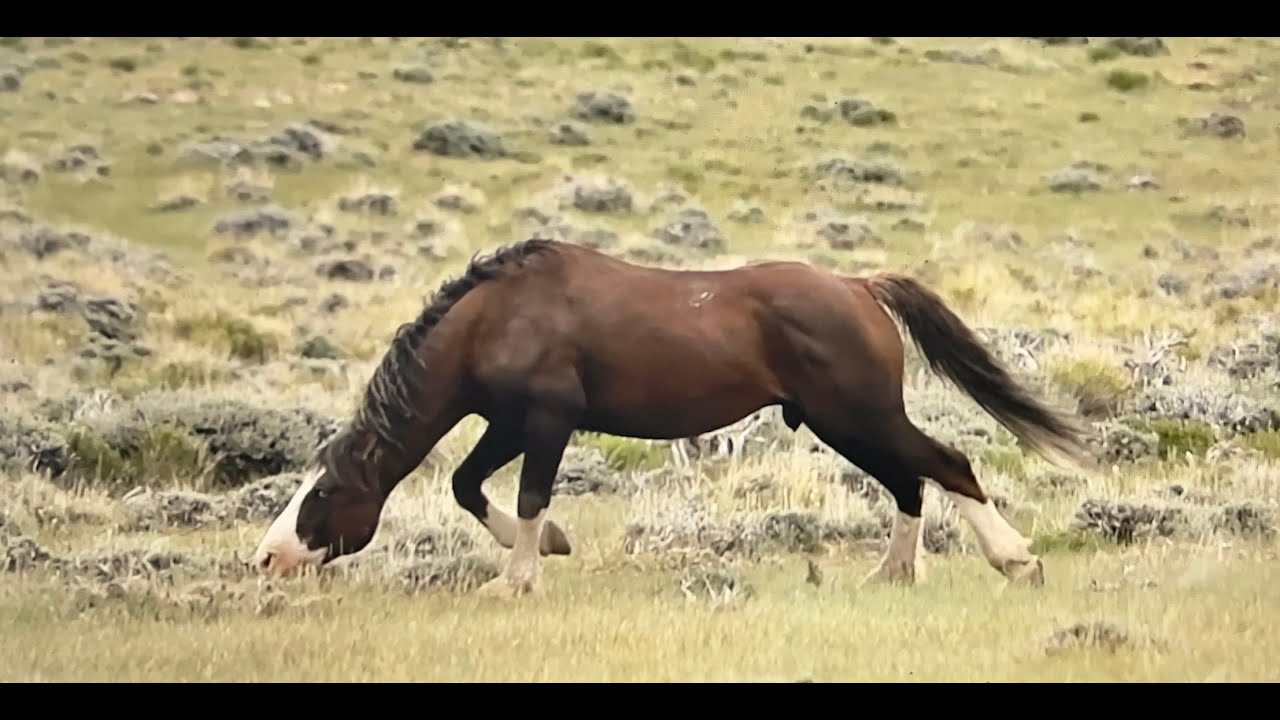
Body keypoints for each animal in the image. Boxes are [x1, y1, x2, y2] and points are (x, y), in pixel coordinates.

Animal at [251, 237, 1095, 597]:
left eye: (324, 492)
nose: (266, 558)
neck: (498, 316)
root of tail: (859, 286)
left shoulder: (547, 421)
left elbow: (527, 496)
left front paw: (516, 580)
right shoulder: (505, 423)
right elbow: (469, 487)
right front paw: (548, 550)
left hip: (859, 416)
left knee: (946, 465)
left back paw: (1015, 562)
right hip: (844, 424)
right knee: (911, 485)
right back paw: (890, 575)